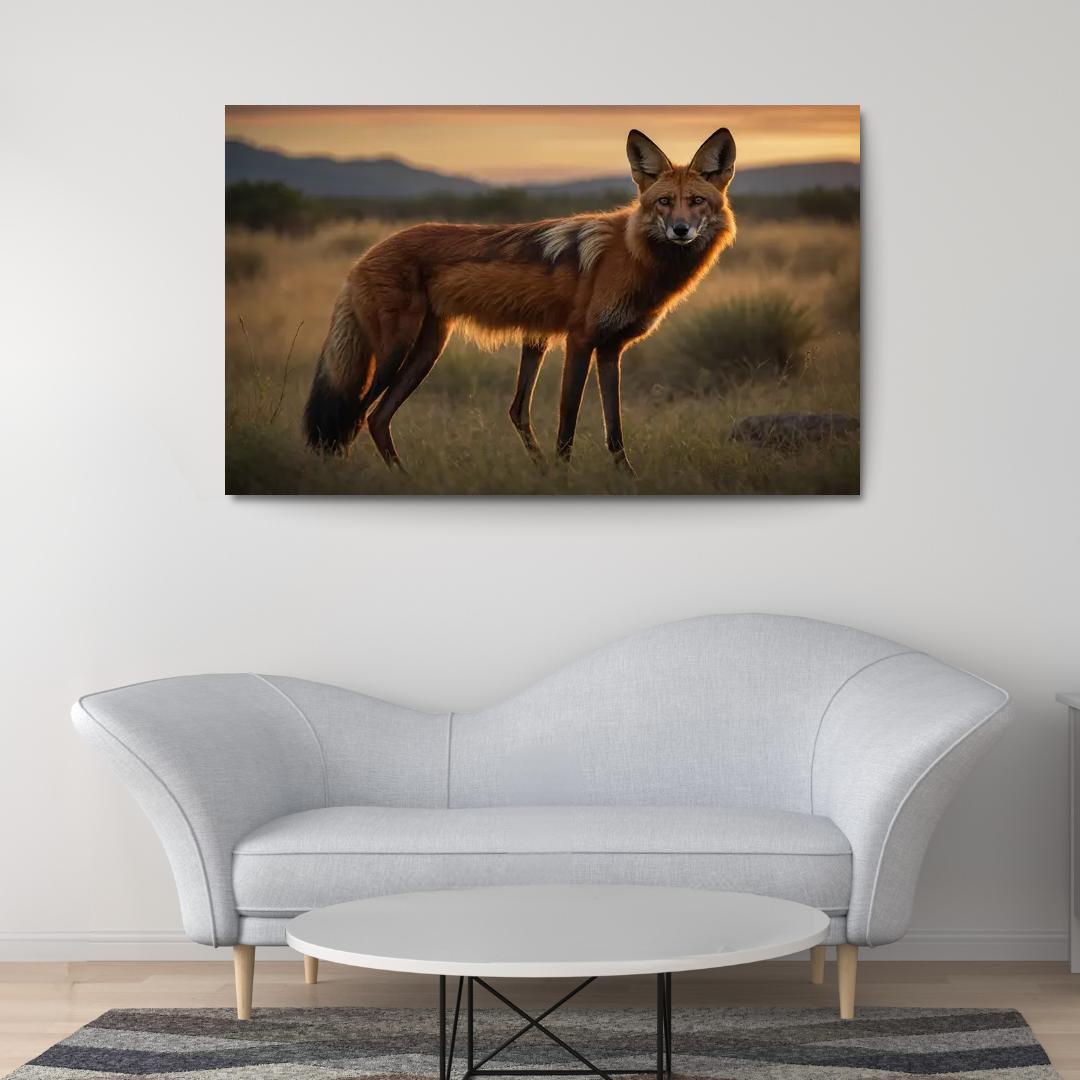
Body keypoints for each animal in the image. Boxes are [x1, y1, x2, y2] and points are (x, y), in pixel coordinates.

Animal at [303, 127, 737, 475]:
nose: (680, 230)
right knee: (355, 416)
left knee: (378, 419)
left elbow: (614, 429)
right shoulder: (580, 341)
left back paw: (406, 479)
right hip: (396, 351)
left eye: (696, 201)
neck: (633, 256)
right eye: (665, 202)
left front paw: (626, 478)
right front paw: (564, 476)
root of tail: (365, 255)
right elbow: (568, 423)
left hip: (428, 350)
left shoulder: (611, 350)